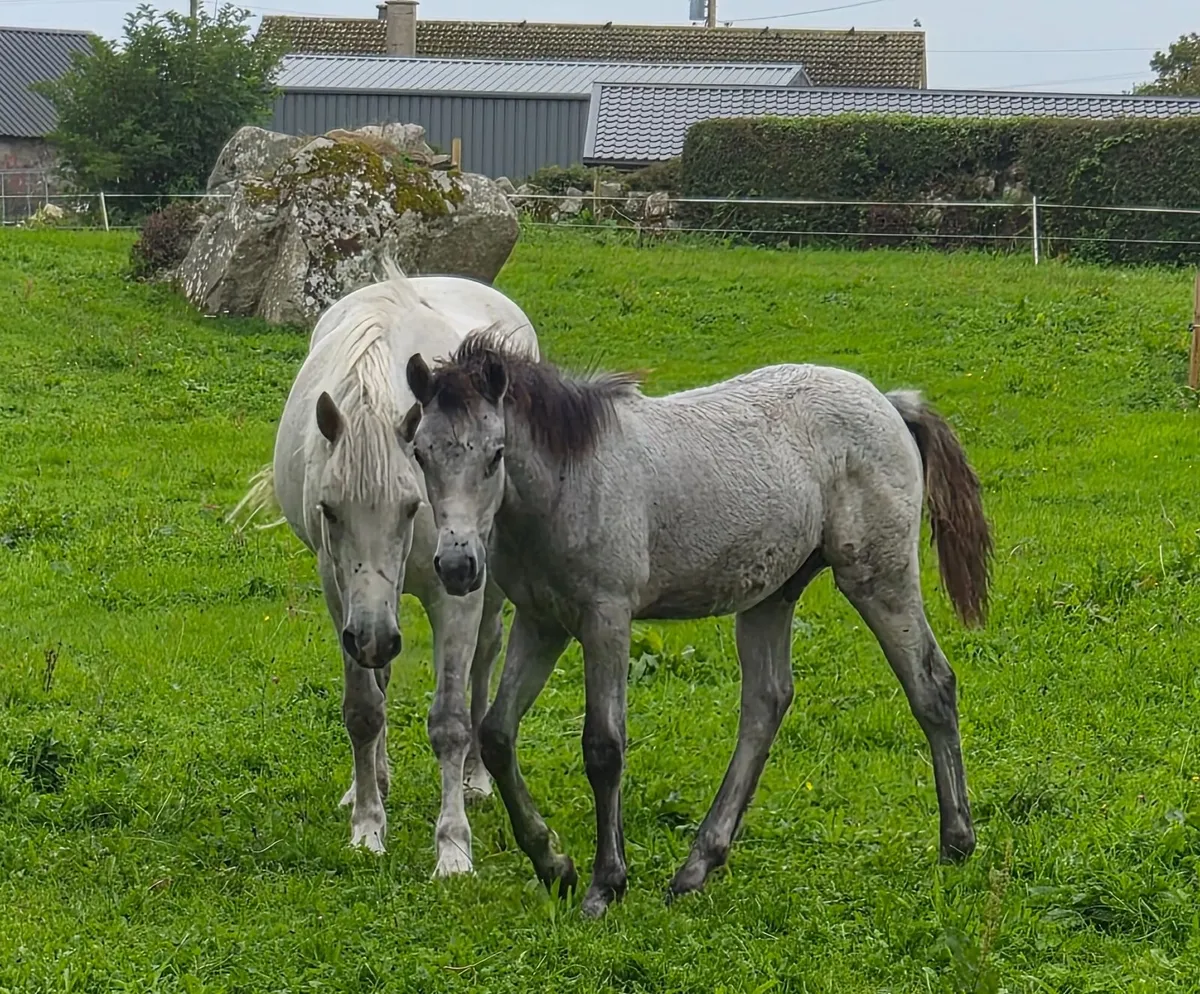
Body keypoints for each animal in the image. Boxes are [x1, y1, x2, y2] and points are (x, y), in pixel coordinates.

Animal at [230, 267, 539, 877]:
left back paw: (476, 780)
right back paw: (371, 780)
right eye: (329, 510)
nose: (372, 637)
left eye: (411, 506)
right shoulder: (342, 594)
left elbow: (449, 721)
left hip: (485, 585)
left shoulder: (455, 593)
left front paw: (453, 848)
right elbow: (364, 709)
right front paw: (368, 824)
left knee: (484, 659)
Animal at [401, 332, 992, 917]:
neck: (571, 480)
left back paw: (956, 841)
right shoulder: (541, 622)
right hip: (773, 593)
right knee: (766, 702)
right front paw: (555, 864)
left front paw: (604, 884)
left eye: (496, 453)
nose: (457, 565)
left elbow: (603, 747)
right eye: (421, 452)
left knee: (931, 684)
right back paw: (697, 865)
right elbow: (497, 735)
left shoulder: (606, 618)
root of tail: (889, 402)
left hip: (877, 575)